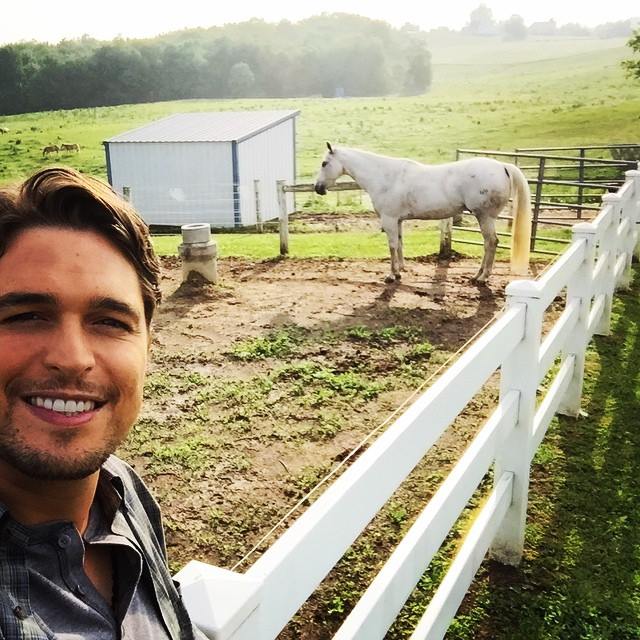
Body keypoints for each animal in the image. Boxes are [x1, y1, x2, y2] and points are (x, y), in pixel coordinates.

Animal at [312, 146, 532, 286]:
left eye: (324, 163)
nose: (318, 188)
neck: (385, 177)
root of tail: (502, 166)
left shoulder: (389, 220)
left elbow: (392, 246)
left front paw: (391, 275)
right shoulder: (397, 221)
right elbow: (400, 244)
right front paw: (400, 270)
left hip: (484, 217)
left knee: (491, 243)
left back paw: (483, 278)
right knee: (489, 244)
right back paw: (477, 275)